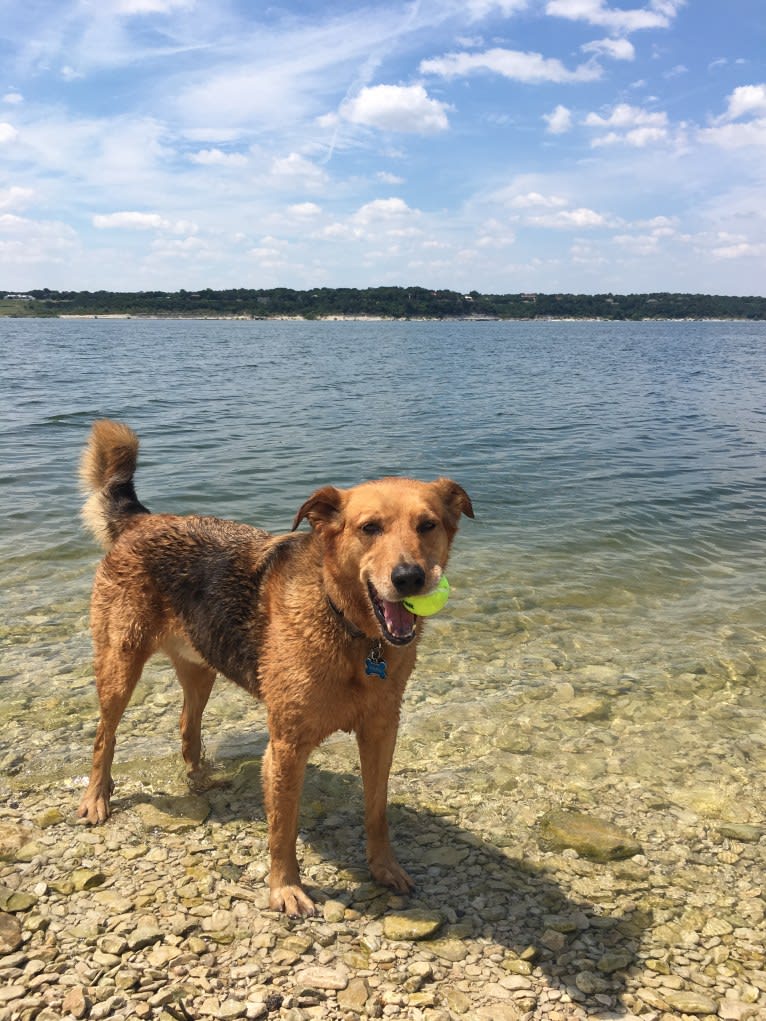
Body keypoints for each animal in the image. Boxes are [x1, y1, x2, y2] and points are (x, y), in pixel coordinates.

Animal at [78, 418, 473, 914]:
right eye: (370, 528)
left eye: (427, 525)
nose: (409, 578)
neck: (349, 630)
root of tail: (140, 519)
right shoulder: (286, 746)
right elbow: (283, 828)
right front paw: (285, 888)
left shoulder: (381, 733)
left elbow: (377, 810)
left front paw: (384, 868)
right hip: (120, 664)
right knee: (104, 736)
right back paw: (96, 797)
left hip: (200, 666)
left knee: (188, 723)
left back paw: (201, 779)